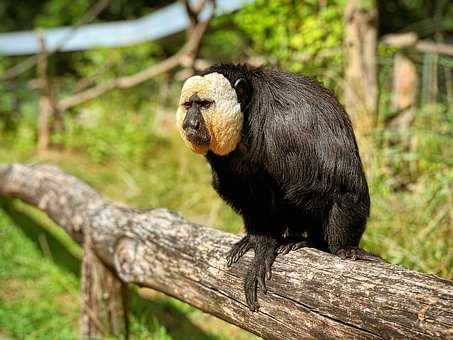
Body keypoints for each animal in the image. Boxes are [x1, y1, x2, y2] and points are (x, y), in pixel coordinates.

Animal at [175, 63, 380, 310]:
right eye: (189, 105)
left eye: (205, 104)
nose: (190, 124)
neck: (247, 119)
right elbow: (248, 195)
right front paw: (261, 244)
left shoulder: (286, 127)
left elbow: (343, 186)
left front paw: (344, 249)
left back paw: (310, 241)